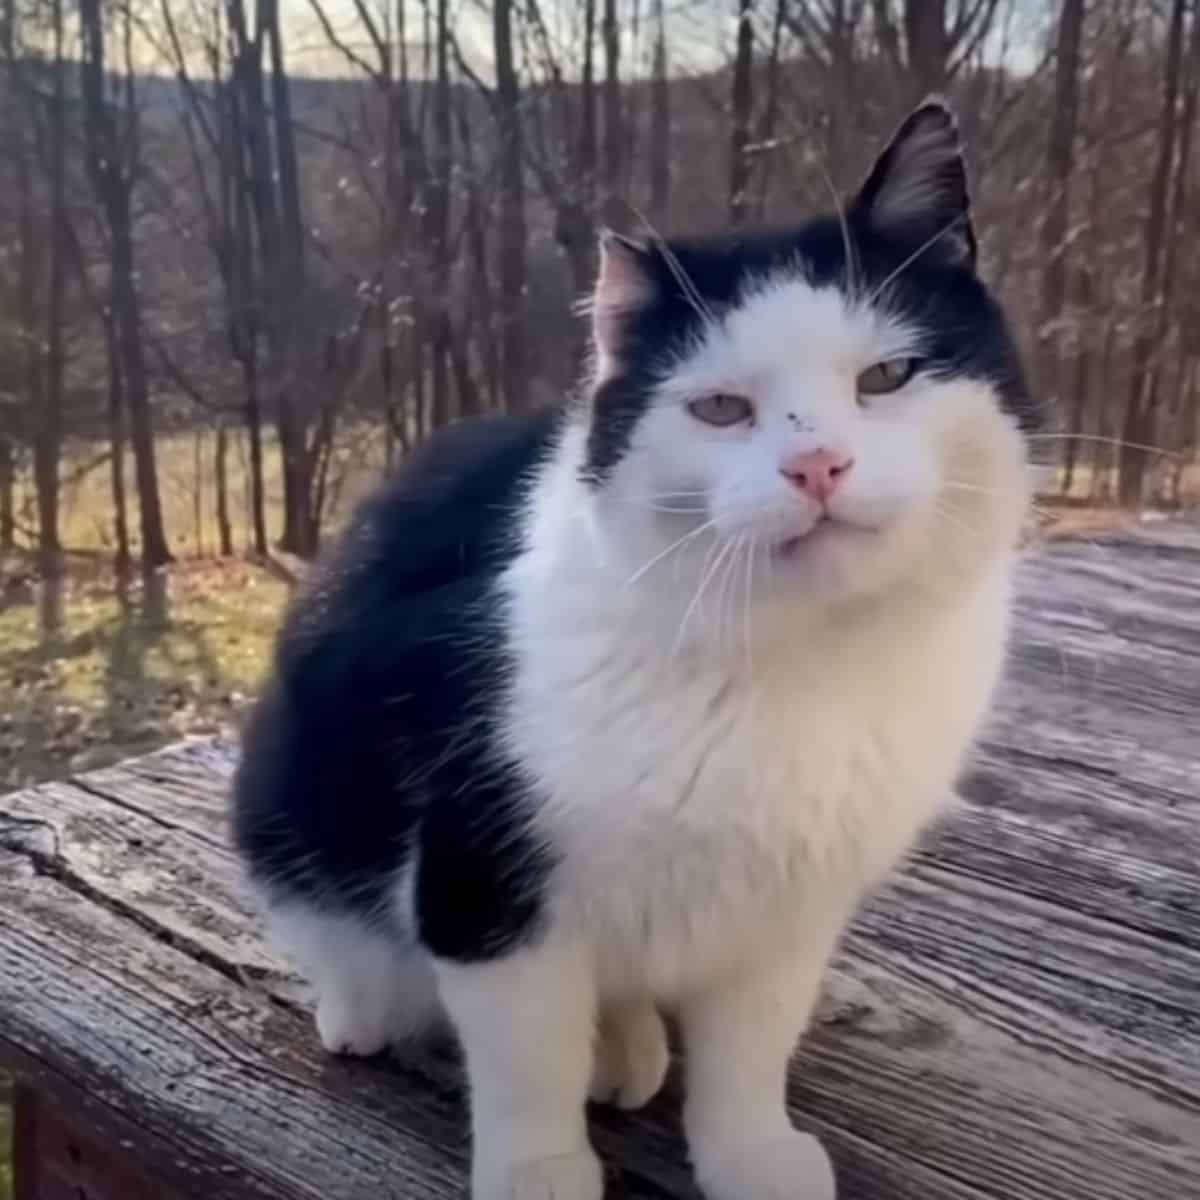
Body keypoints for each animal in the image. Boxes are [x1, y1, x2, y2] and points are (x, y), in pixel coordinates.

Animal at [229, 98, 1036, 1200]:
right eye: (720, 408)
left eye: (887, 376)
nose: (818, 464)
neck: (796, 661)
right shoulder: (487, 877)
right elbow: (527, 1058)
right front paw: (539, 1173)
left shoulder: (789, 907)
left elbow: (752, 1047)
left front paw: (750, 1154)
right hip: (287, 785)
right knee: (341, 934)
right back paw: (368, 1010)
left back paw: (628, 1041)